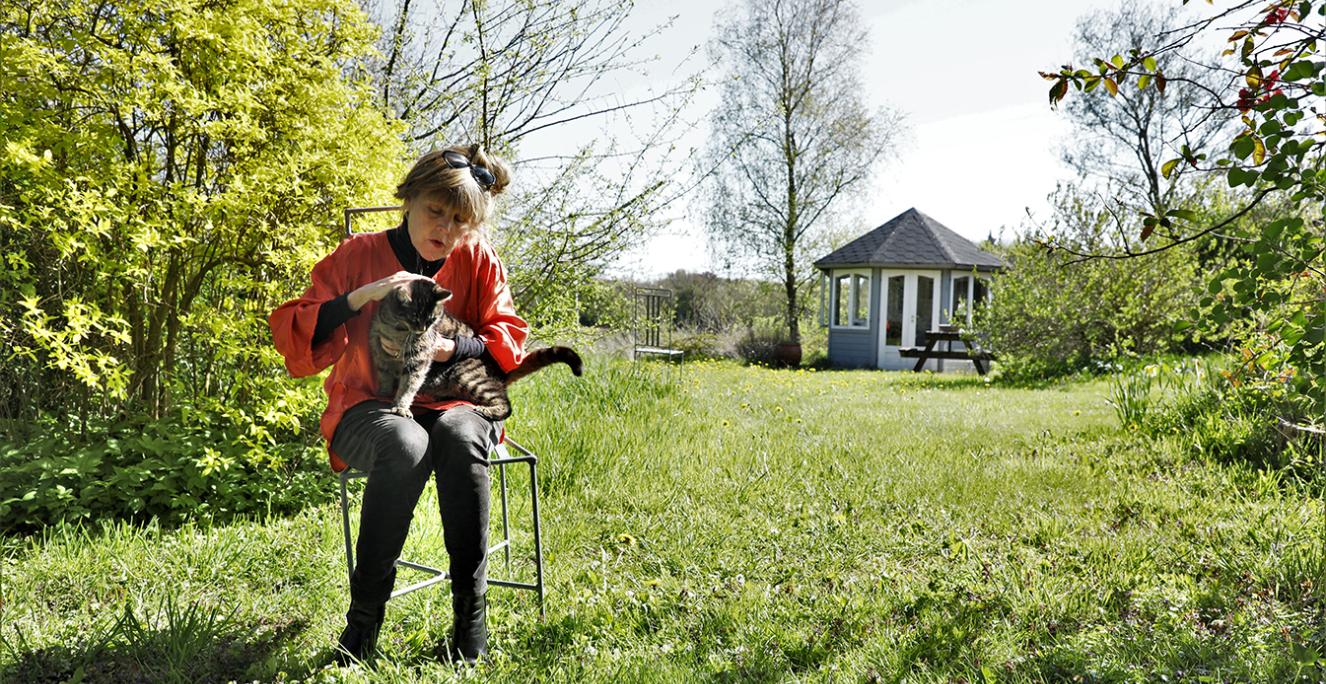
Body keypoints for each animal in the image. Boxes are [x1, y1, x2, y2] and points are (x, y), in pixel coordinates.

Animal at [371, 277, 583, 416]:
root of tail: (499, 371)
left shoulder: (419, 357)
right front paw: (383, 393)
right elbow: (384, 375)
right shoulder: (380, 351)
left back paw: (488, 410)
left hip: (467, 375)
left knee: (506, 405)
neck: (396, 328)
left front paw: (401, 405)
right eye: (415, 319)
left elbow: (409, 384)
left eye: (432, 320)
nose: (423, 330)